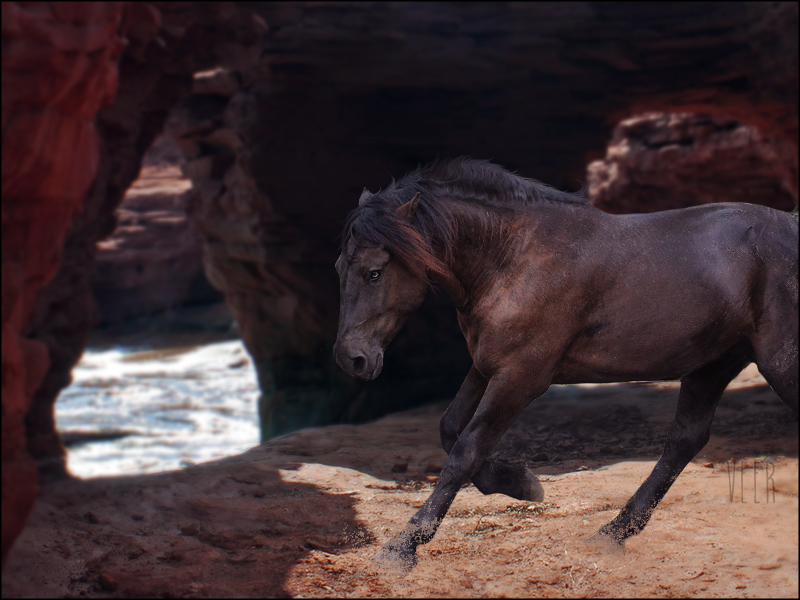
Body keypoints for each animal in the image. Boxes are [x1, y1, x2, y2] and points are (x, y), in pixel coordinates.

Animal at [332, 157, 792, 568]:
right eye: (340, 267)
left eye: (374, 272)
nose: (352, 359)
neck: (514, 257)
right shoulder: (487, 365)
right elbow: (450, 429)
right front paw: (520, 485)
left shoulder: (522, 376)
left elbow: (465, 450)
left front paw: (401, 547)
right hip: (712, 365)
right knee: (685, 441)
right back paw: (612, 534)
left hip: (776, 363)